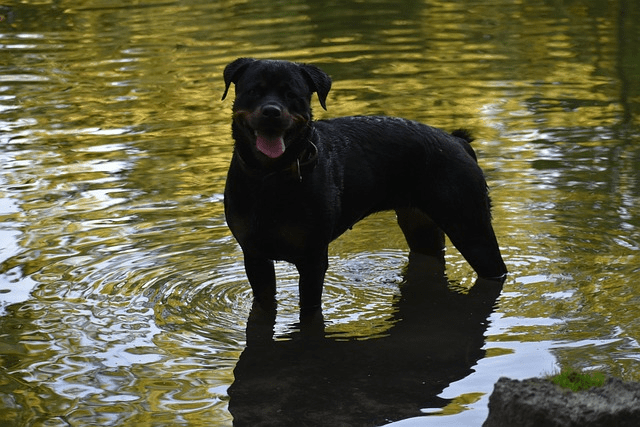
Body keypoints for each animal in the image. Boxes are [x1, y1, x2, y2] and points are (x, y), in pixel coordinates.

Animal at [222, 57, 508, 310]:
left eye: (292, 94)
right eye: (253, 91)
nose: (271, 111)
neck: (270, 178)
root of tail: (457, 141)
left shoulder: (313, 257)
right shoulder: (254, 255)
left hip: (471, 228)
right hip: (421, 226)